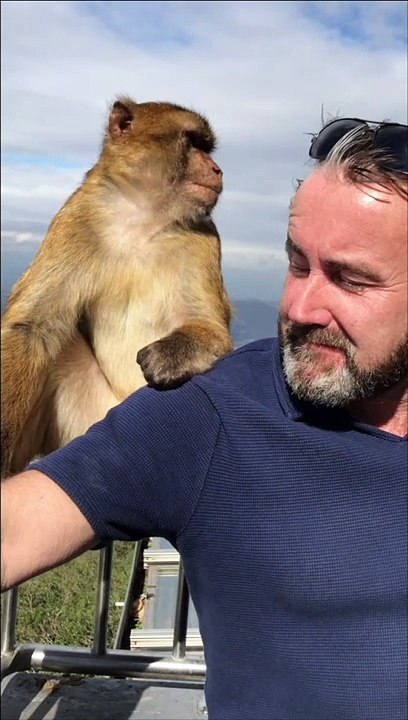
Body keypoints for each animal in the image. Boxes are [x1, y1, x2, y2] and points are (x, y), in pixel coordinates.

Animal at [1, 97, 234, 478]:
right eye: (193, 143)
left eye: (205, 147)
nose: (217, 170)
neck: (144, 220)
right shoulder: (77, 219)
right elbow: (32, 329)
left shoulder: (203, 238)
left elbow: (212, 328)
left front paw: (172, 355)